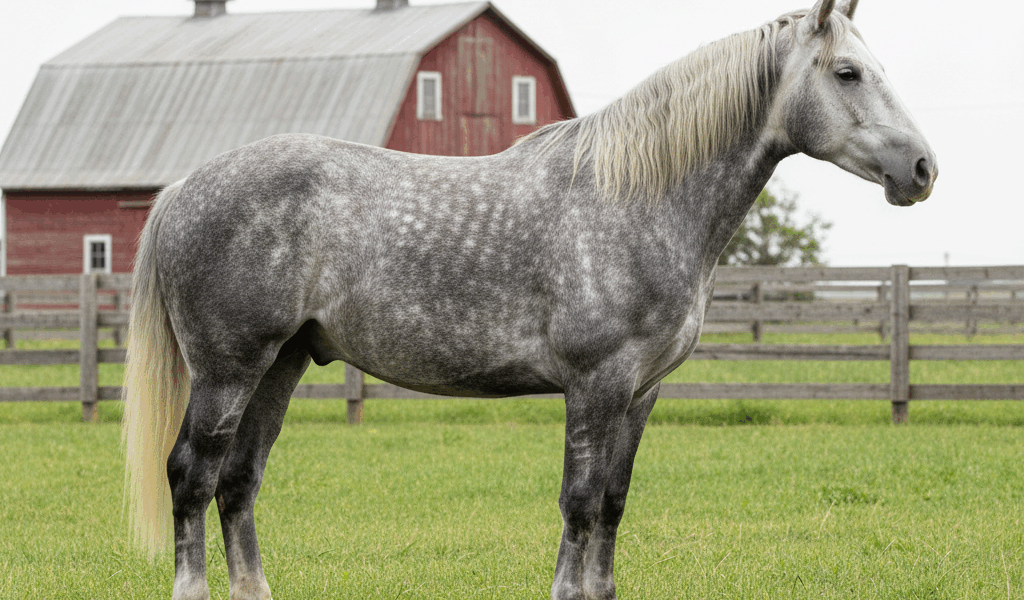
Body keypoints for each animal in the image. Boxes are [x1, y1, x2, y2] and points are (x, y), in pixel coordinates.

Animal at [122, 1, 937, 598]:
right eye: (847, 72)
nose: (923, 168)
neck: (634, 197)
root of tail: (184, 188)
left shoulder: (641, 392)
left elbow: (611, 505)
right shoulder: (595, 384)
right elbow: (579, 503)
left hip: (280, 366)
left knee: (237, 484)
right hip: (228, 371)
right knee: (191, 479)